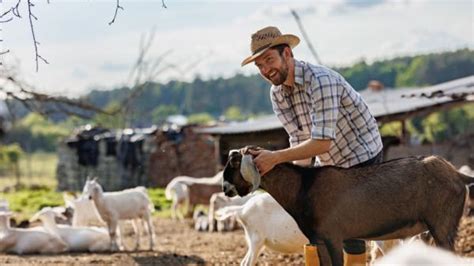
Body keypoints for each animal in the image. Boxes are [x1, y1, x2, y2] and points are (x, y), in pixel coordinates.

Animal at [223, 151, 474, 266]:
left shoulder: (334, 237)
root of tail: (457, 174)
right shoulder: (318, 240)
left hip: (443, 225)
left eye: (234, 163)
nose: (225, 189)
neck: (304, 186)